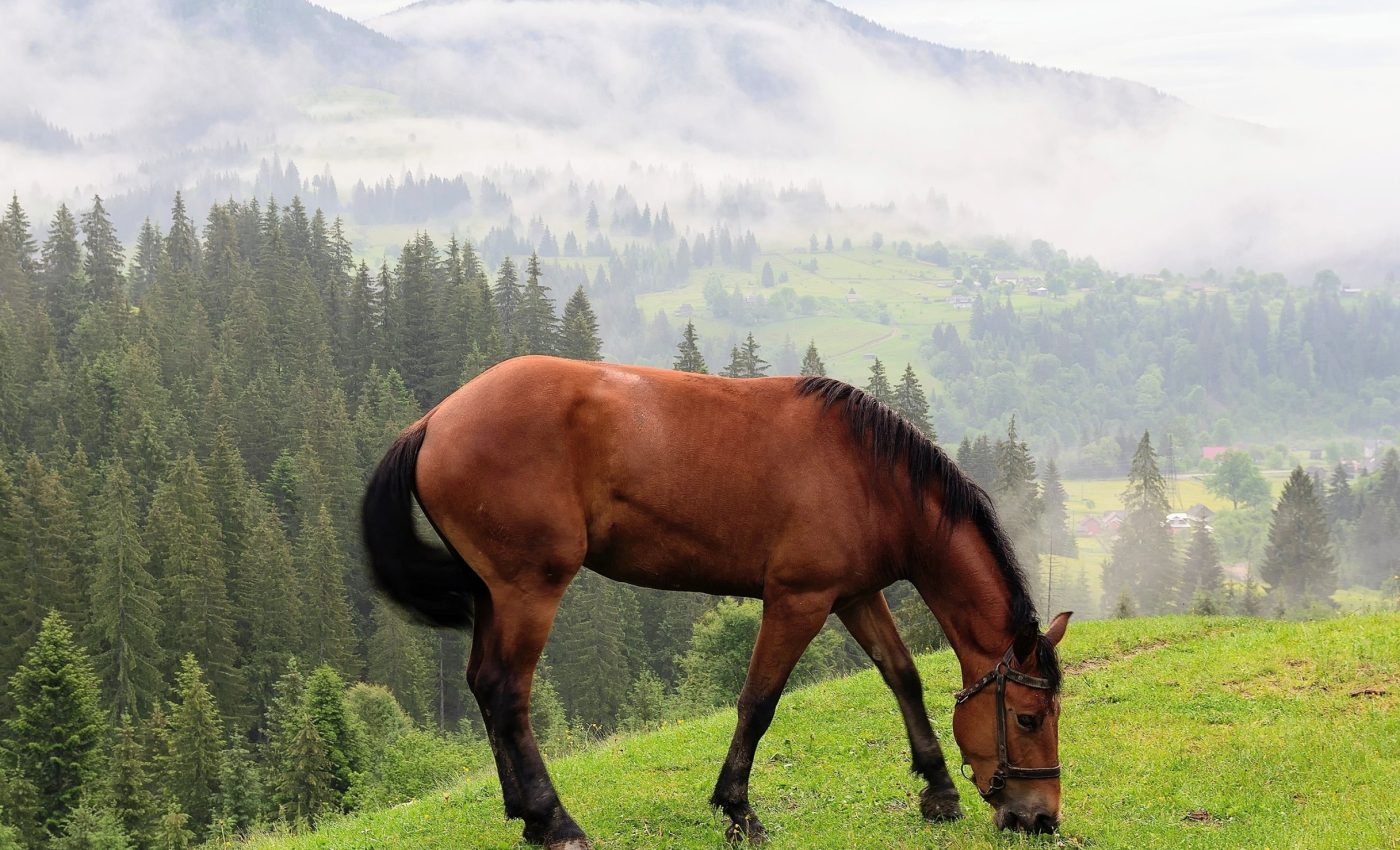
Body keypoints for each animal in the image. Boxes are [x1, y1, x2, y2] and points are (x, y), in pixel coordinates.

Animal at [362, 355, 1070, 849]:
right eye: (1028, 718)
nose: (1040, 818)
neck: (870, 477)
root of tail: (435, 420)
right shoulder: (798, 600)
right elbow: (758, 702)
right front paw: (738, 808)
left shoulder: (855, 594)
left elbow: (903, 676)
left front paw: (938, 788)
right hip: (527, 588)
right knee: (507, 694)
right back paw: (554, 820)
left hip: (494, 591)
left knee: (483, 685)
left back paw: (525, 815)